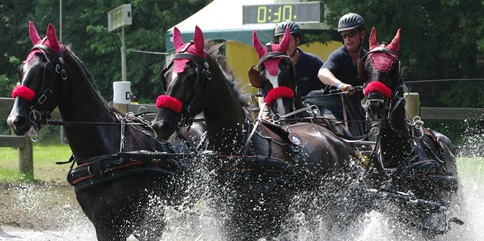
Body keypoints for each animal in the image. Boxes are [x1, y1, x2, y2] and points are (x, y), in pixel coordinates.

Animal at [7, 21, 193, 240]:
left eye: (43, 70)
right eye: (21, 69)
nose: (15, 120)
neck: (104, 154)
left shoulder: (150, 222)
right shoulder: (104, 227)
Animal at [153, 25, 358, 240]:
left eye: (192, 76)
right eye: (166, 76)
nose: (160, 125)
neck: (238, 151)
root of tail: (338, 140)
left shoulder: (271, 222)